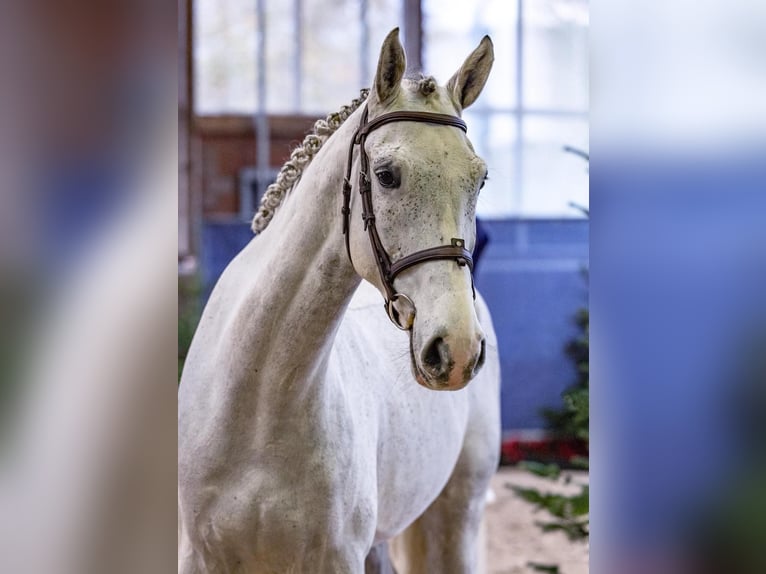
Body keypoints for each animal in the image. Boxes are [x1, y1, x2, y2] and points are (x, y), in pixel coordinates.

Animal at [178, 28, 500, 573]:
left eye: (479, 180)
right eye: (387, 175)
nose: (457, 349)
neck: (258, 408)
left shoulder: (336, 558)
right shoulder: (199, 555)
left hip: (459, 513)